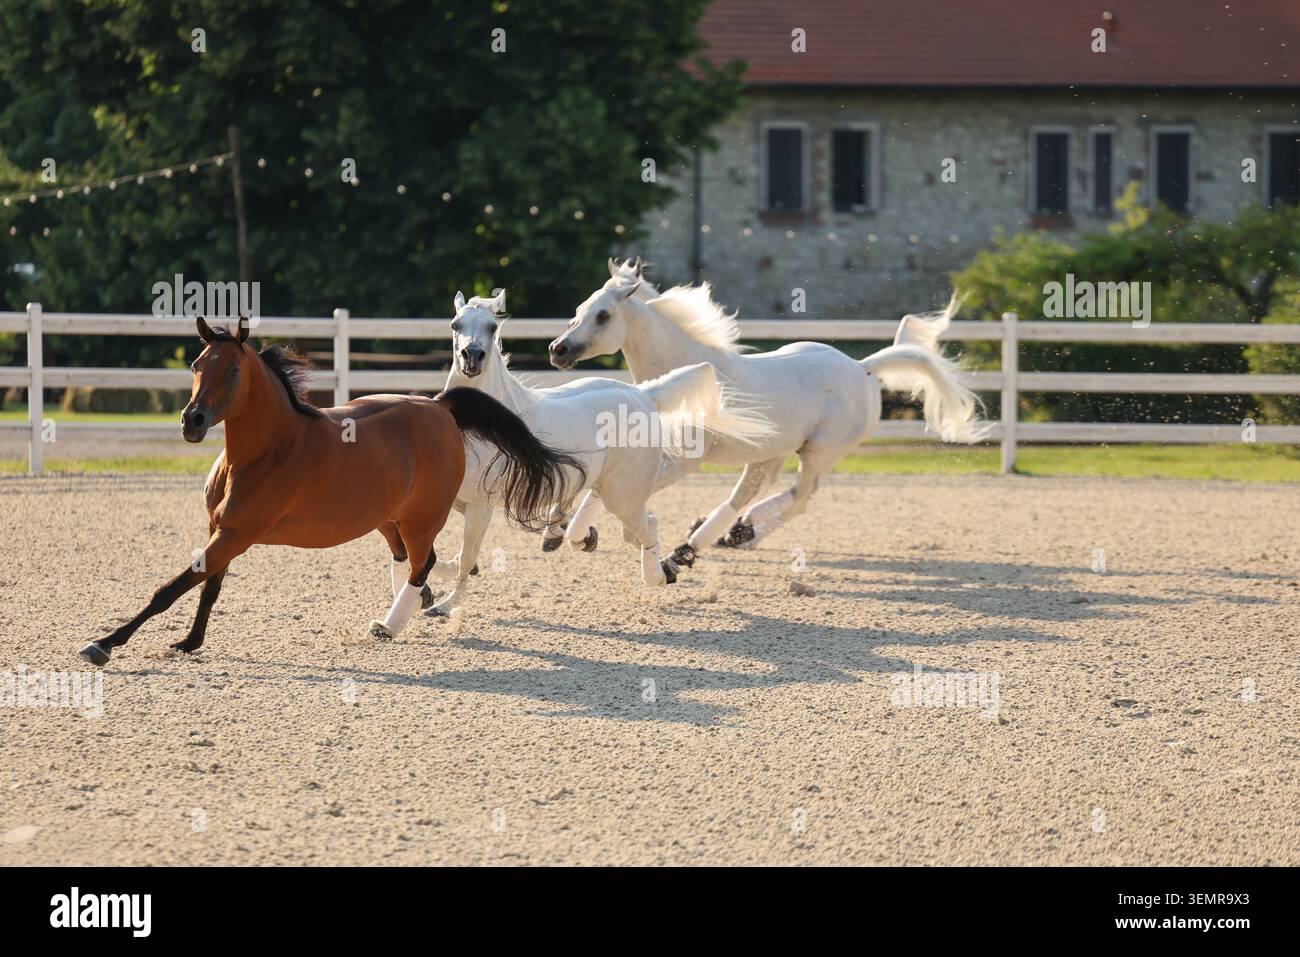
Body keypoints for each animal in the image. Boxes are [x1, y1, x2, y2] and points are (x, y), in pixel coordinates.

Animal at [78, 314, 581, 666]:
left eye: (234, 372)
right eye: (196, 365)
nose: (192, 422)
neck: (265, 452)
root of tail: (440, 407)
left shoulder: (236, 534)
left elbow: (171, 588)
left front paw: (104, 644)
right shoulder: (222, 531)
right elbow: (208, 588)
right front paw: (189, 641)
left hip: (421, 518)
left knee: (424, 562)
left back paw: (391, 624)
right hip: (387, 519)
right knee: (410, 561)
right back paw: (413, 607)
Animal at [422, 288, 773, 615]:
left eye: (492, 327)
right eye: (455, 325)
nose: (472, 357)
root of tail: (643, 394)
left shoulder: (481, 504)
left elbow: (466, 559)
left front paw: (443, 606)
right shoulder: (455, 501)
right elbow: (439, 555)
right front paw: (432, 588)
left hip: (623, 495)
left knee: (646, 527)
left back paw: (658, 574)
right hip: (614, 490)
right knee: (637, 526)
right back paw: (588, 541)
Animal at [548, 258, 986, 558]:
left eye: (603, 315)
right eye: (580, 309)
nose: (558, 350)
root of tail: (863, 368)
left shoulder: (685, 460)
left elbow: (613, 494)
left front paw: (579, 536)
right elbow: (601, 490)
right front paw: (572, 534)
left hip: (820, 451)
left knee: (800, 495)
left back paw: (720, 539)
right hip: (772, 451)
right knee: (755, 491)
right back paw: (726, 533)